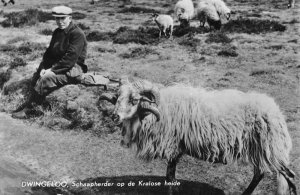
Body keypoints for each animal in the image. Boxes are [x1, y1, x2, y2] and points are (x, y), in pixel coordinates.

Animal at [100, 79, 298, 195]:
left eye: (134, 100)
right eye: (117, 97)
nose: (114, 116)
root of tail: (276, 111)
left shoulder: (173, 147)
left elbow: (170, 178)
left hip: (271, 148)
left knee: (289, 177)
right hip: (260, 149)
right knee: (260, 173)